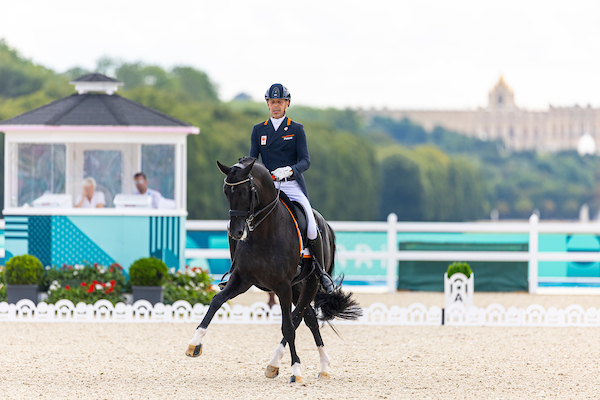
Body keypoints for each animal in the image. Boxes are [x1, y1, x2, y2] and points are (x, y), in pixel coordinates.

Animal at [185, 157, 360, 384]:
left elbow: (288, 325)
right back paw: (313, 365)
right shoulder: (242, 279)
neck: (263, 232)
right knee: (309, 318)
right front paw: (195, 343)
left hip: (310, 283)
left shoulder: (282, 286)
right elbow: (216, 301)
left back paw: (292, 363)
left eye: (246, 191)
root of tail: (324, 223)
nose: (236, 232)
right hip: (297, 286)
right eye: (226, 191)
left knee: (296, 318)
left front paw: (296, 371)